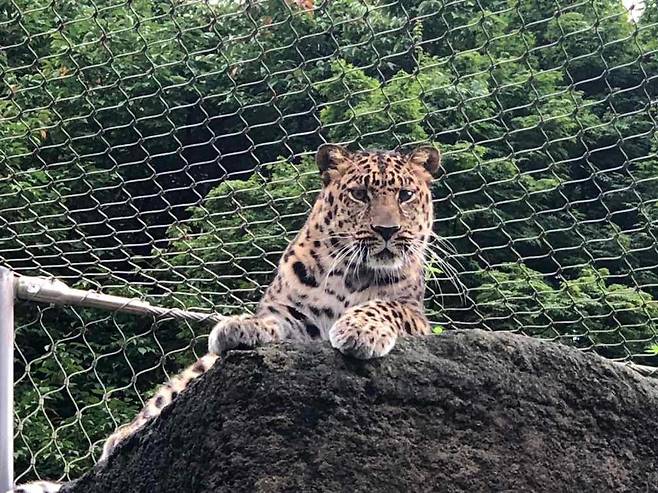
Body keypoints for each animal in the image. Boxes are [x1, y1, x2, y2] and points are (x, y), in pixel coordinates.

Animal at [10, 143, 438, 492]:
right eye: (360, 194)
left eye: (405, 195)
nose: (387, 230)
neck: (354, 274)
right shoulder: (295, 314)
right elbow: (276, 319)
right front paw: (241, 326)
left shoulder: (417, 316)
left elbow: (384, 306)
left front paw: (359, 328)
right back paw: (121, 439)